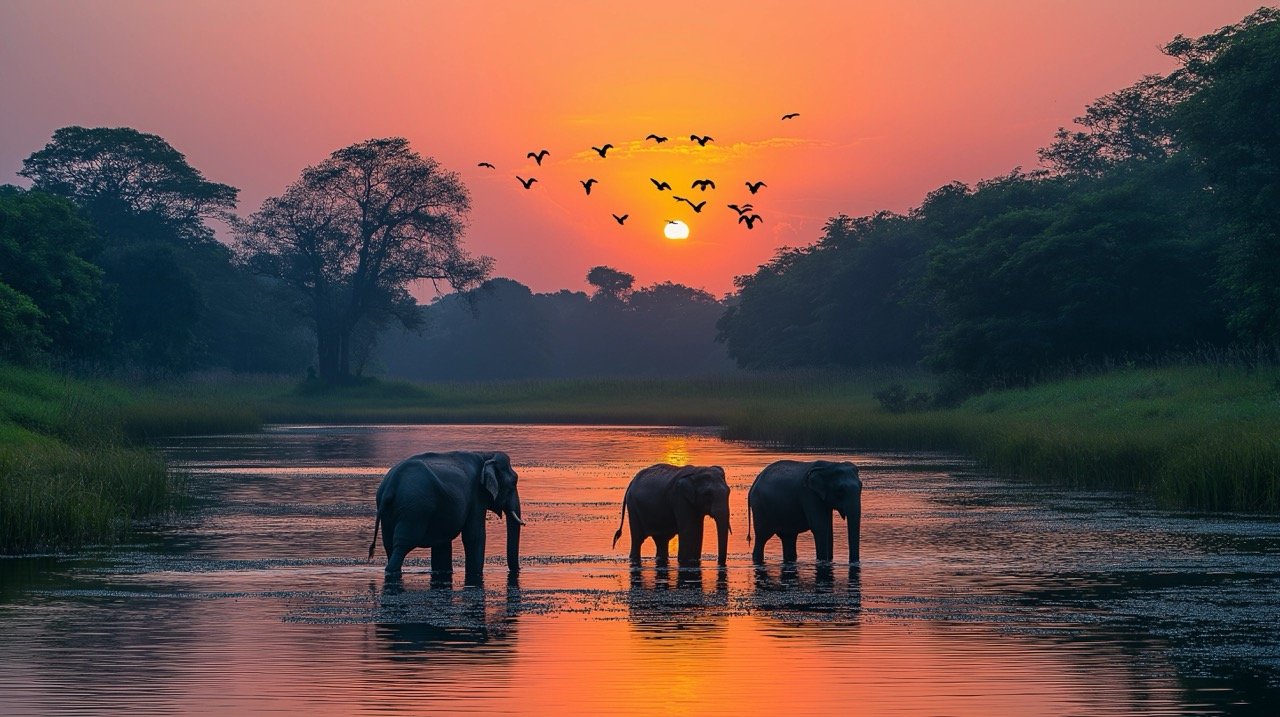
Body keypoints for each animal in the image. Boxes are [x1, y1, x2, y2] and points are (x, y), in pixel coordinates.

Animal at [366, 450, 524, 586]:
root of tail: (390, 485)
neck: (487, 454)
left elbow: (442, 543)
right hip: (415, 510)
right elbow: (474, 536)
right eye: (514, 482)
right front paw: (475, 574)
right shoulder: (477, 496)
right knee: (403, 543)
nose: (519, 570)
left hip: (390, 512)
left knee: (389, 544)